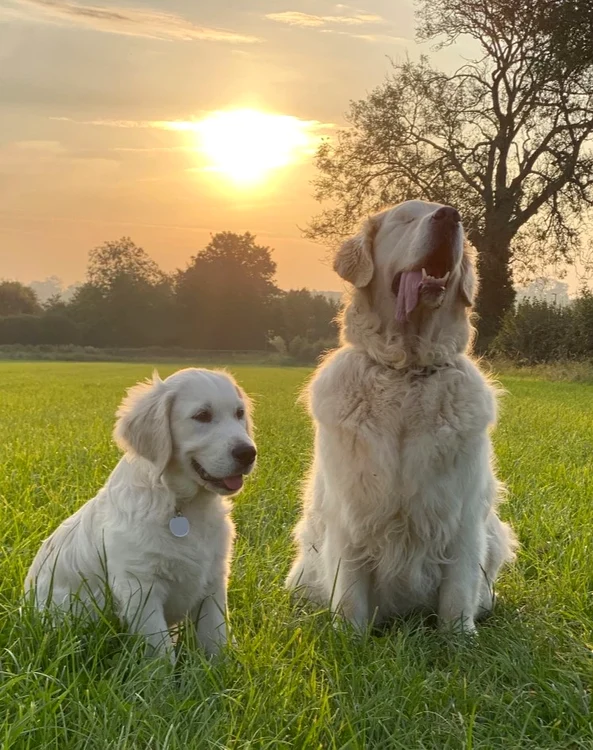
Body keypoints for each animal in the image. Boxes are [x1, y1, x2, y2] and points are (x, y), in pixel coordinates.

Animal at [24, 368, 256, 660]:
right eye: (202, 415)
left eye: (239, 413)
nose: (249, 453)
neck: (182, 505)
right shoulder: (140, 586)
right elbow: (161, 653)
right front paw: (165, 673)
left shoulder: (214, 580)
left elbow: (216, 638)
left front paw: (222, 667)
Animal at [286, 200, 512, 636]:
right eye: (406, 218)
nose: (450, 215)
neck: (407, 372)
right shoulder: (351, 511)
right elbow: (350, 592)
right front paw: (349, 639)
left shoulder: (461, 514)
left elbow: (458, 590)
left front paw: (459, 640)